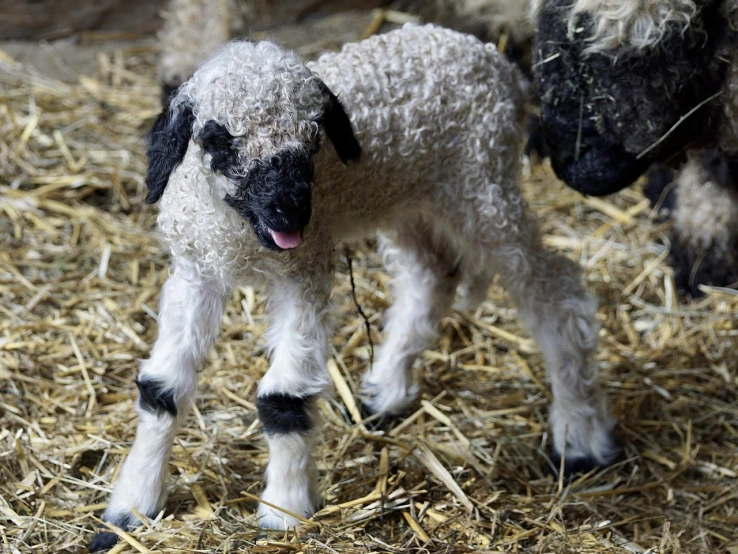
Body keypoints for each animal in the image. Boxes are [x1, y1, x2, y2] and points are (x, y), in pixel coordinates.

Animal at [89, 23, 620, 548]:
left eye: (314, 136)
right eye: (217, 139)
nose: (290, 210)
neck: (242, 235)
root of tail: (498, 63)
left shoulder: (305, 271)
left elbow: (284, 400)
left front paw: (284, 511)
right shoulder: (196, 271)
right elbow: (162, 389)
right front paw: (129, 510)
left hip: (483, 187)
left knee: (556, 292)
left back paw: (579, 436)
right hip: (411, 201)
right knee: (432, 275)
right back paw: (386, 392)